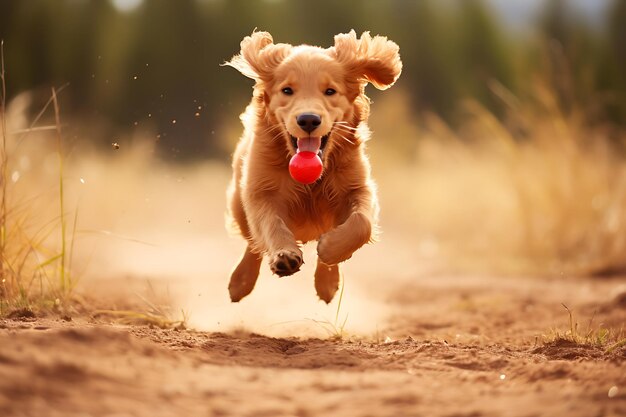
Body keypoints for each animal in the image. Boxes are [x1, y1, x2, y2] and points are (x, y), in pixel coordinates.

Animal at [224, 30, 400, 302]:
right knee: (252, 244)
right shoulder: (261, 191)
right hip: (238, 202)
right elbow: (271, 224)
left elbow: (362, 223)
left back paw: (327, 281)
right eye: (287, 90)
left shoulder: (358, 187)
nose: (308, 119)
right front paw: (285, 256)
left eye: (330, 90)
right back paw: (240, 282)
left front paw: (330, 249)